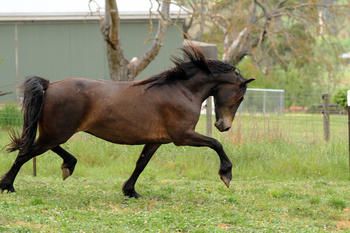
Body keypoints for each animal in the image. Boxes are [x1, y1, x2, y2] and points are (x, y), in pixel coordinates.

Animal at [0, 45, 253, 197]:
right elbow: (216, 144)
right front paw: (226, 175)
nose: (224, 126)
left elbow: (141, 163)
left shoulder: (156, 140)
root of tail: (50, 85)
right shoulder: (183, 136)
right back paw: (7, 185)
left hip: (55, 132)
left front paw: (130, 191)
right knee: (26, 152)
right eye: (240, 97)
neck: (180, 90)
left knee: (41, 149)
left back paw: (68, 165)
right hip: (57, 132)